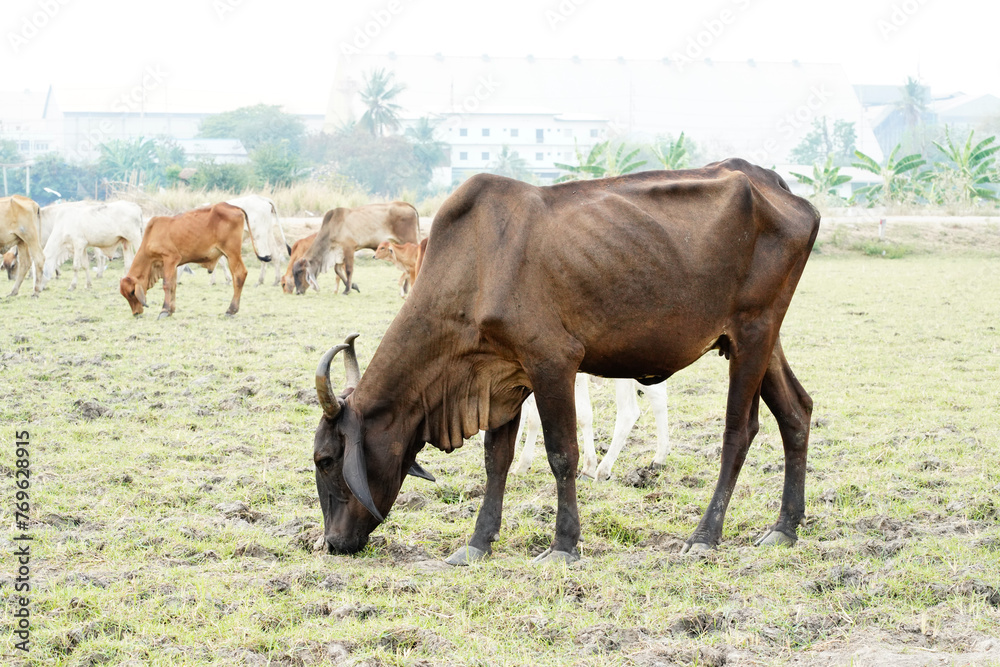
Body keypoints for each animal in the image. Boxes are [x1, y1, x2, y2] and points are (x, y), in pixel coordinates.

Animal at [120, 202, 270, 320]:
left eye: (132, 293)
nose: (136, 313)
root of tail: (233, 206)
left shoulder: (170, 259)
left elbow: (167, 285)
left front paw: (164, 310)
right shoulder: (174, 265)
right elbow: (173, 285)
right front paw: (171, 310)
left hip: (232, 252)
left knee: (239, 275)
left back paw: (231, 309)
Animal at [290, 202, 418, 296]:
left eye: (299, 272)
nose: (298, 292)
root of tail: (406, 204)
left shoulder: (349, 249)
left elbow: (348, 270)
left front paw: (347, 290)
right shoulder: (339, 252)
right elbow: (337, 270)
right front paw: (354, 286)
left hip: (409, 241)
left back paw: (407, 289)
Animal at [512, 376, 668, 480]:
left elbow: (583, 414)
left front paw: (589, 467)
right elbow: (534, 417)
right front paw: (522, 466)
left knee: (629, 412)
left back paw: (603, 471)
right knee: (658, 395)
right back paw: (660, 459)